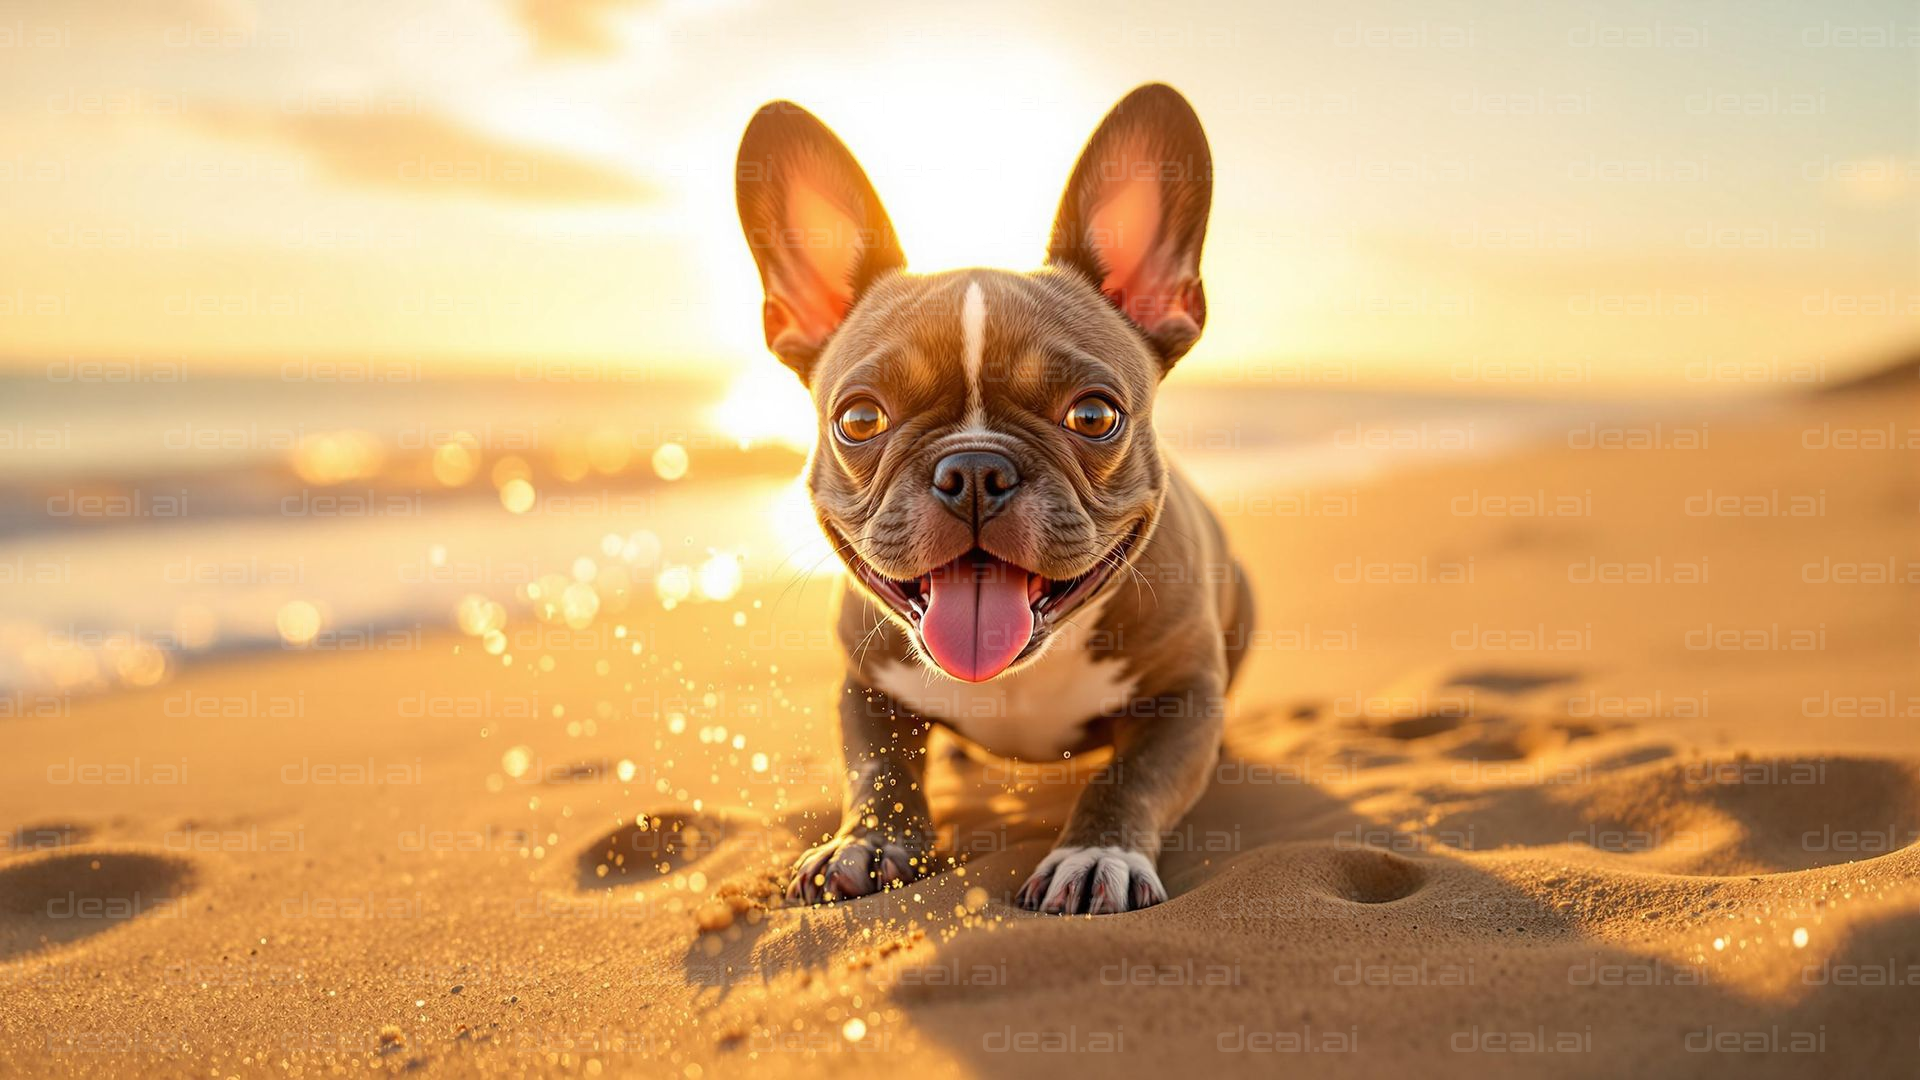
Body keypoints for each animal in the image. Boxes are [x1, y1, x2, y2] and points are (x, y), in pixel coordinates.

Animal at [725, 82, 1251, 907]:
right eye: (859, 419)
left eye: (1094, 415)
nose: (974, 470)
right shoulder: (868, 687)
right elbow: (877, 769)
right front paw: (865, 841)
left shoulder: (1183, 698)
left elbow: (1130, 777)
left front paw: (1095, 853)